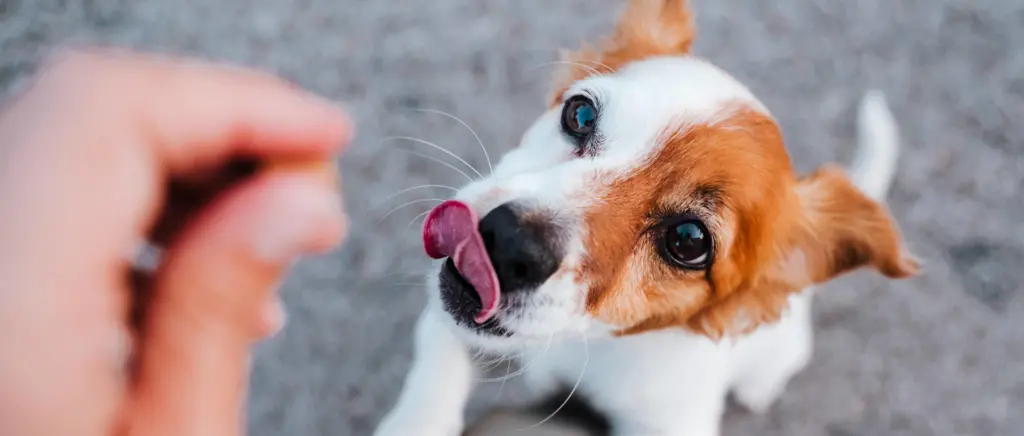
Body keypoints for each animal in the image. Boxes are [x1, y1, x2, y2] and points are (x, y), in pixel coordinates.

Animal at [376, 1, 921, 433]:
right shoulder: (449, 322)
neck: (582, 345)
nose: (508, 243)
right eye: (580, 114)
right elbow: (436, 371)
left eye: (688, 241)